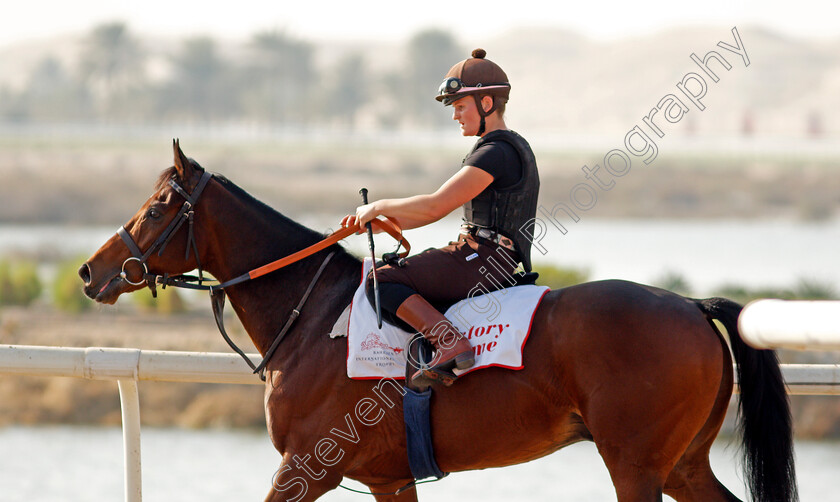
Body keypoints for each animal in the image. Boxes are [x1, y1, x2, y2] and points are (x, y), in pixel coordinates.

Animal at [80, 141, 800, 502]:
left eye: (158, 205)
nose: (91, 271)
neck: (312, 321)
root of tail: (692, 306)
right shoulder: (386, 481)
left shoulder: (305, 468)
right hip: (681, 467)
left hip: (638, 468)